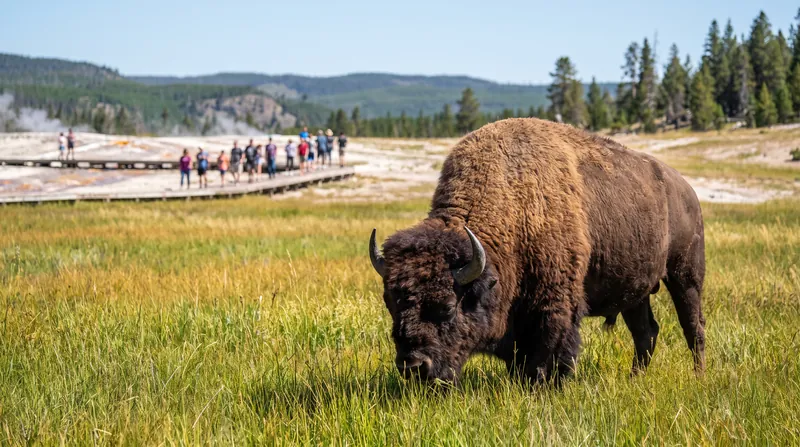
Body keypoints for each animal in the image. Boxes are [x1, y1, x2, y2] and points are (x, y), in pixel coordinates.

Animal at [370, 118, 705, 384]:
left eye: (449, 306)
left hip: (685, 276)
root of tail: (686, 189)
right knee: (645, 332)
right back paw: (635, 378)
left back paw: (698, 375)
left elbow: (550, 349)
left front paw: (546, 383)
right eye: (390, 303)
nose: (414, 366)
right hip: (636, 292)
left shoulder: (554, 303)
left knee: (693, 326)